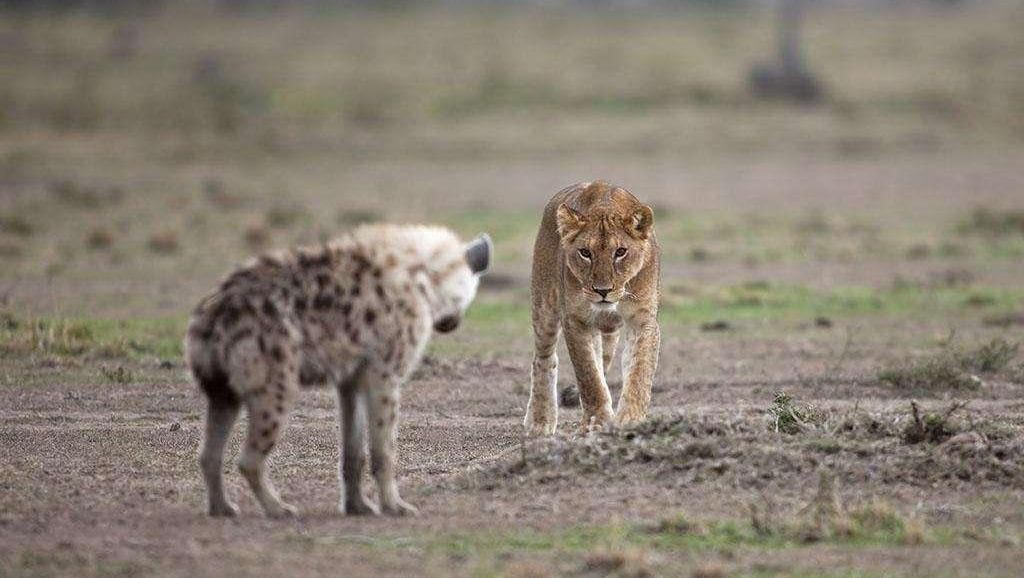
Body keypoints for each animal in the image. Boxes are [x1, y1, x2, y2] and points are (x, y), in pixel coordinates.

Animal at [185, 224, 491, 518]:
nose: (452, 323)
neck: (422, 278)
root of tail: (213, 312)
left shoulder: (352, 378)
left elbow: (353, 450)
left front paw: (358, 507)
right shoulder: (384, 374)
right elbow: (384, 449)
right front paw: (395, 507)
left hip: (221, 387)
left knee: (209, 452)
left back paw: (221, 508)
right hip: (274, 379)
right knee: (248, 458)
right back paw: (278, 509)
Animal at [524, 181, 661, 435]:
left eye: (621, 252)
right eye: (585, 253)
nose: (602, 290)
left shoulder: (643, 320)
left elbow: (640, 370)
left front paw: (630, 419)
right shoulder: (575, 321)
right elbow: (589, 376)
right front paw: (597, 422)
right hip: (544, 306)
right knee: (544, 358)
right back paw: (539, 420)